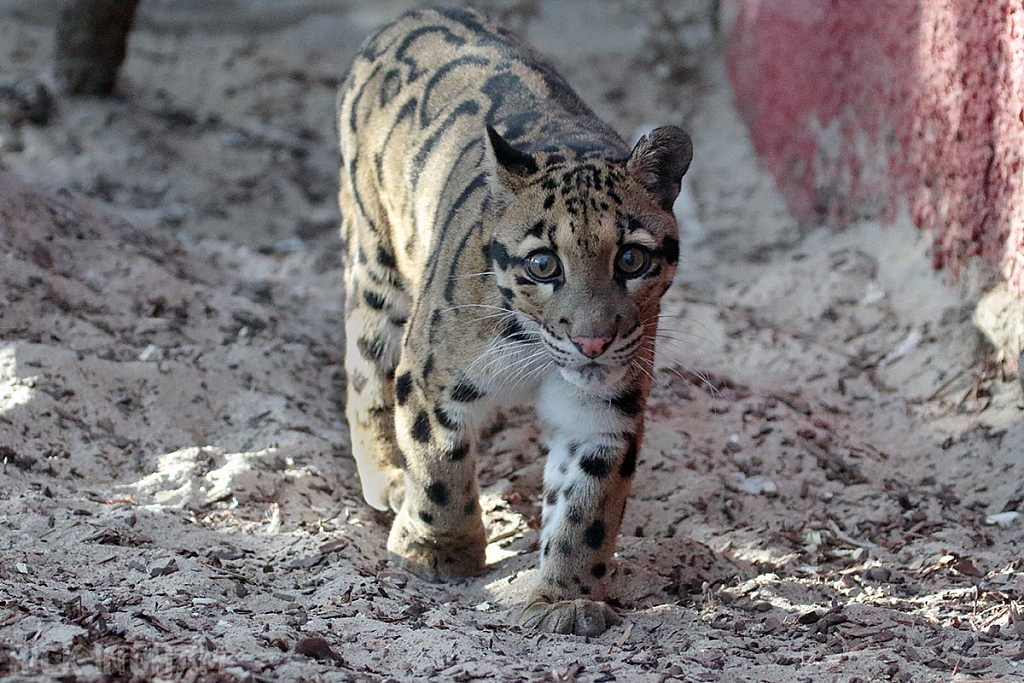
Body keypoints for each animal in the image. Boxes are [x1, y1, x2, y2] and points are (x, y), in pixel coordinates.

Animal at [339, 6, 692, 634]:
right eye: (542, 264)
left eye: (631, 259)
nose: (593, 341)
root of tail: (414, 12)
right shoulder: (428, 377)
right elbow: (439, 467)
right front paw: (437, 551)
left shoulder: (604, 410)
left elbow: (587, 507)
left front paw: (565, 598)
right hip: (375, 260)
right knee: (363, 369)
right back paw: (387, 477)